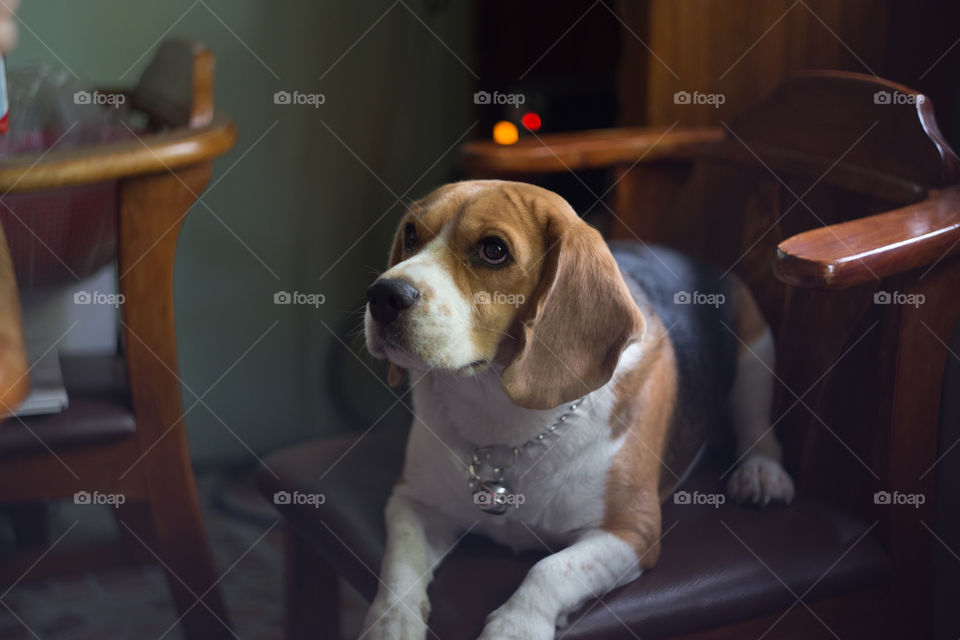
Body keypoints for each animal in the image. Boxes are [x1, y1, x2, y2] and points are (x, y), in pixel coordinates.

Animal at [362, 180, 796, 640]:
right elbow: (399, 564)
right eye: (410, 235)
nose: (383, 295)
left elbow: (549, 570)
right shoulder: (412, 502)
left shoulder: (631, 531)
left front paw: (515, 628)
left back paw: (762, 473)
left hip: (756, 356)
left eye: (493, 250)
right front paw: (391, 623)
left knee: (758, 429)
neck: (502, 413)